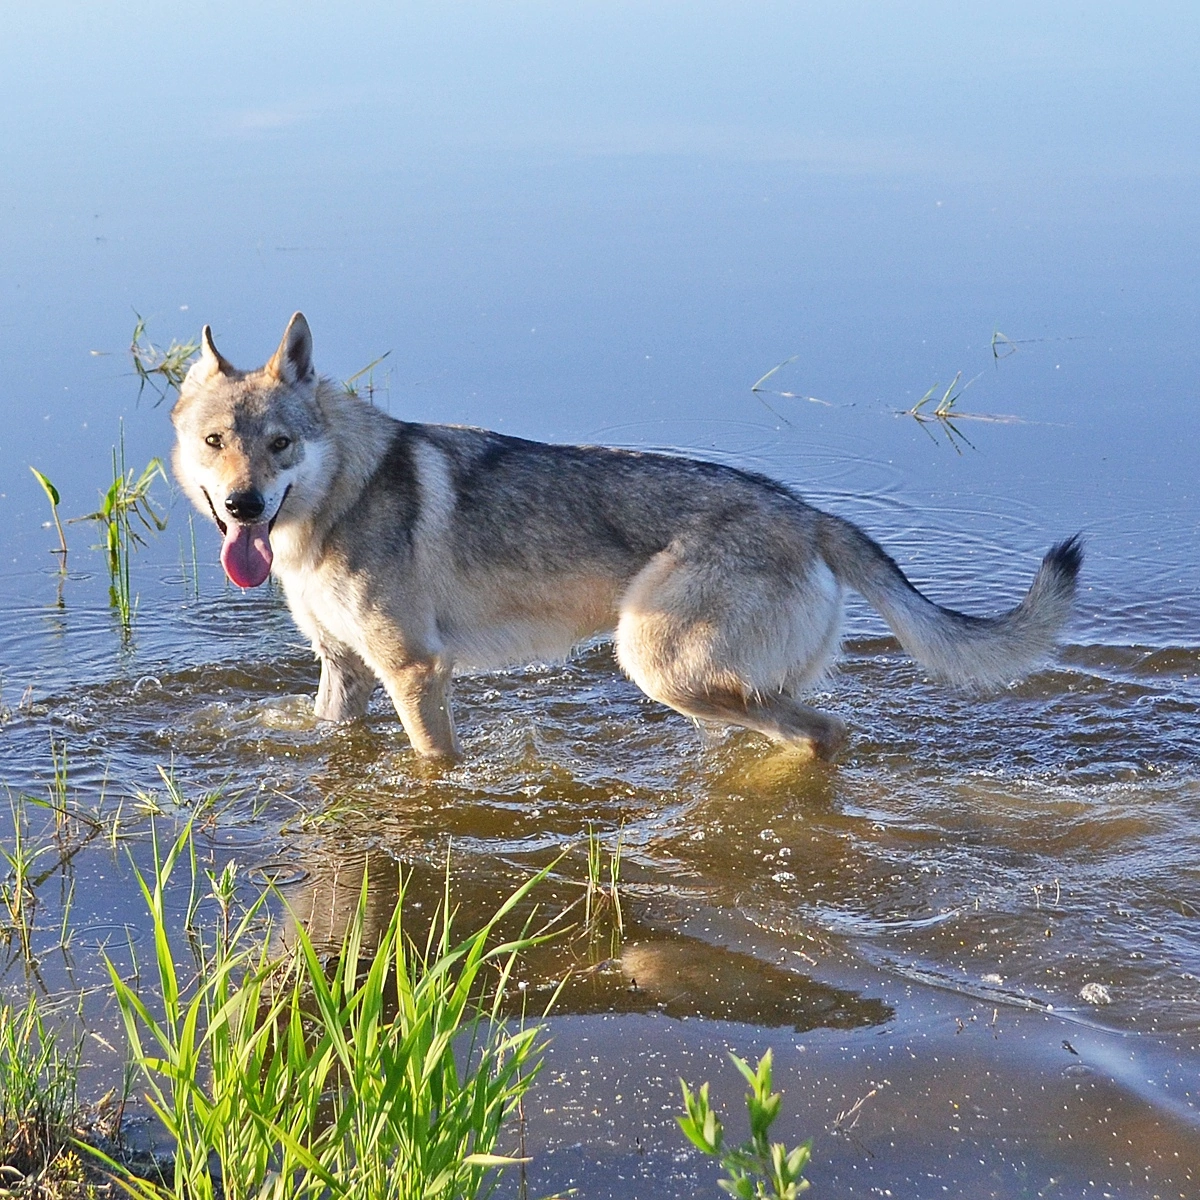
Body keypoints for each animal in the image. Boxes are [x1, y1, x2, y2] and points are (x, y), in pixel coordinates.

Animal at [171, 313, 1082, 762]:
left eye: (280, 444)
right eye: (216, 443)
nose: (245, 507)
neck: (338, 500)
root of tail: (808, 513)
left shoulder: (415, 673)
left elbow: (433, 766)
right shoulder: (345, 673)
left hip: (656, 664)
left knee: (822, 734)